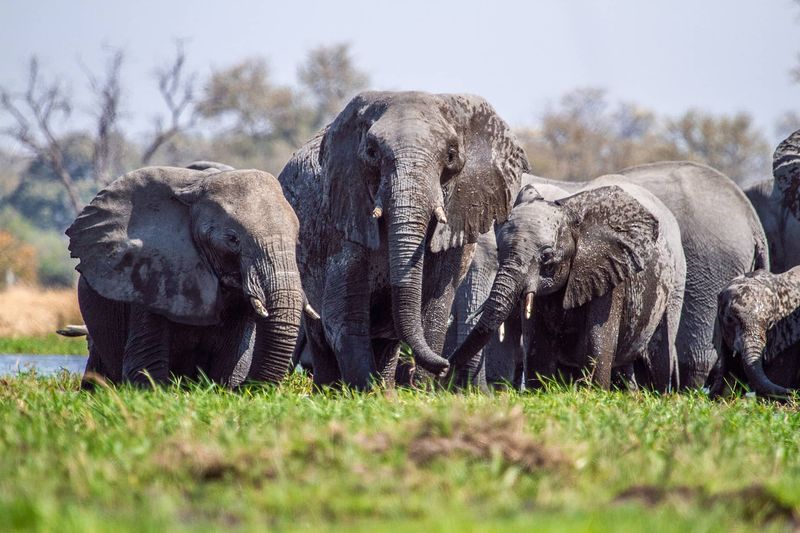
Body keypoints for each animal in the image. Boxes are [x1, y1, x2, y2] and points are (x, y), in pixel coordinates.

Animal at [278, 91, 529, 389]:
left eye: (451, 155)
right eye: (372, 153)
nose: (446, 366)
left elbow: (434, 311)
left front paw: (418, 391)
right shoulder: (345, 213)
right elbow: (343, 315)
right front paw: (369, 393)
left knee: (386, 342)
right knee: (322, 335)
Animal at [449, 178, 686, 392]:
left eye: (546, 257)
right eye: (499, 251)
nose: (443, 367)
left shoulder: (608, 275)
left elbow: (597, 348)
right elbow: (539, 352)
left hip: (672, 290)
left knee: (658, 365)